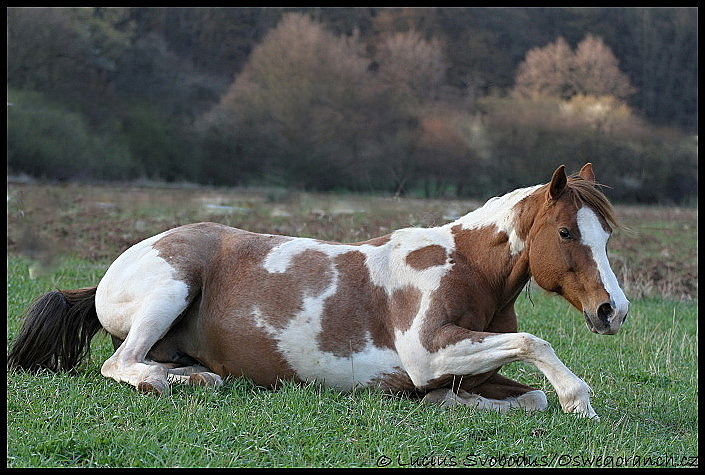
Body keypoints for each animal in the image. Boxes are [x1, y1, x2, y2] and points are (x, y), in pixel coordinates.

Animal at [8, 165, 628, 418]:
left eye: (606, 234)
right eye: (567, 232)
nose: (613, 311)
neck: (466, 269)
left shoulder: (468, 363)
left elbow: (531, 395)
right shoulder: (430, 350)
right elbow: (535, 343)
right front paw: (580, 400)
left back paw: (193, 375)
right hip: (170, 289)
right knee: (122, 365)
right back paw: (183, 382)